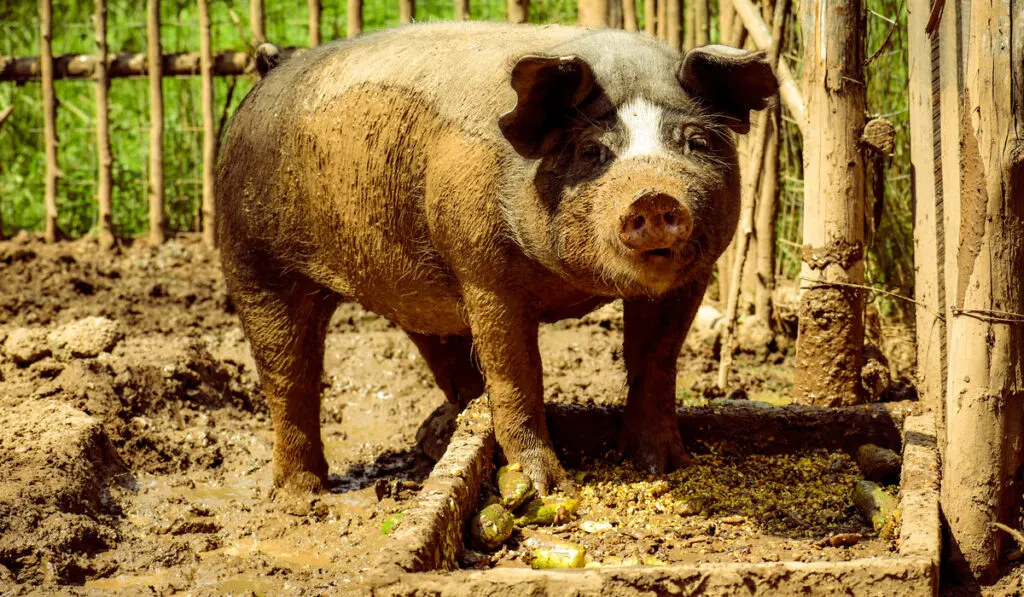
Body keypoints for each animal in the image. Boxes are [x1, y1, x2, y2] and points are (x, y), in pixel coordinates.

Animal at [216, 20, 774, 495]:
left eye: (695, 141)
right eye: (592, 151)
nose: (654, 196)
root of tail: (272, 68)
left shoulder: (692, 277)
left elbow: (655, 361)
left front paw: (669, 467)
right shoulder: (484, 271)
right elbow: (516, 372)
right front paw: (550, 489)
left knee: (447, 361)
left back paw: (435, 439)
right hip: (251, 257)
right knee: (289, 374)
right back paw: (302, 498)